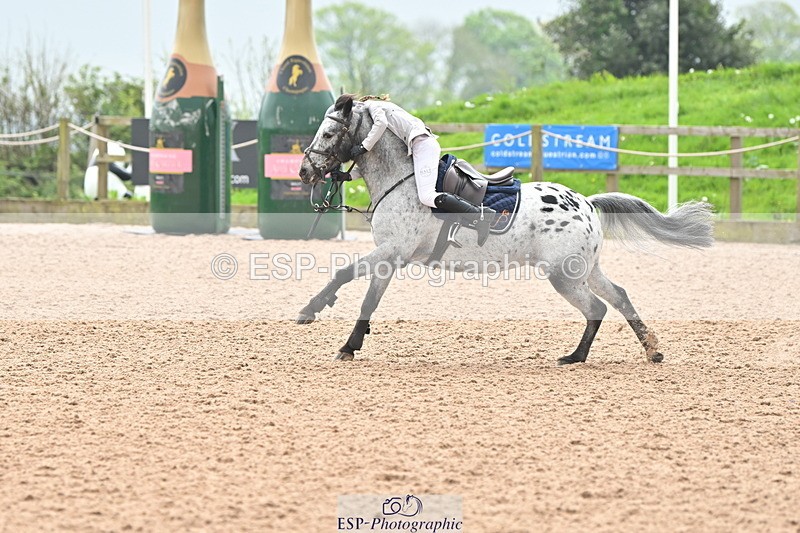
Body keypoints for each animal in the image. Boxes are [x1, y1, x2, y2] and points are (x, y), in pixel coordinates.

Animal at [297, 95, 713, 365]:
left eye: (329, 134)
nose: (304, 172)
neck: (401, 178)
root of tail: (587, 202)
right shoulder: (390, 257)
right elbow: (364, 294)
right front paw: (343, 335)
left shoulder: (391, 252)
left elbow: (348, 278)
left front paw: (318, 317)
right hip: (585, 270)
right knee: (620, 298)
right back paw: (651, 349)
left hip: (564, 275)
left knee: (596, 308)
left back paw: (575, 357)